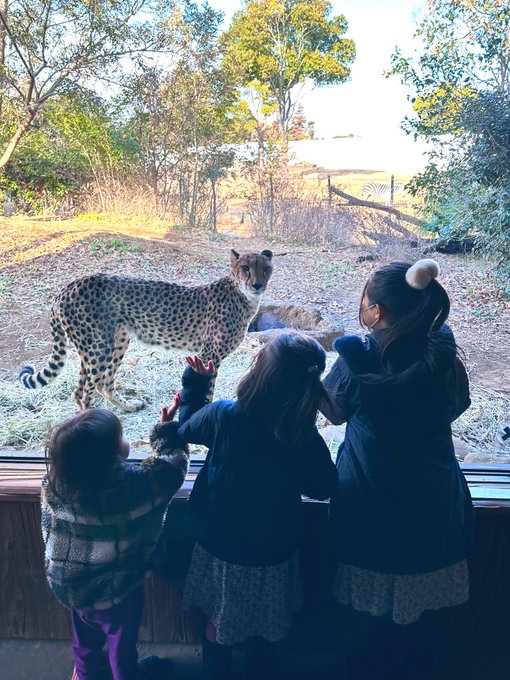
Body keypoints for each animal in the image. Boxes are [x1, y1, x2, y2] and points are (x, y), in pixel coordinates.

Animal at [19, 248, 272, 412]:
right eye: (246, 268)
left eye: (266, 269)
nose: (257, 284)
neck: (243, 296)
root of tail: (67, 287)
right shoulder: (209, 354)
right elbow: (206, 390)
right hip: (98, 347)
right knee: (82, 392)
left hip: (116, 341)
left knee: (99, 384)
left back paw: (127, 407)